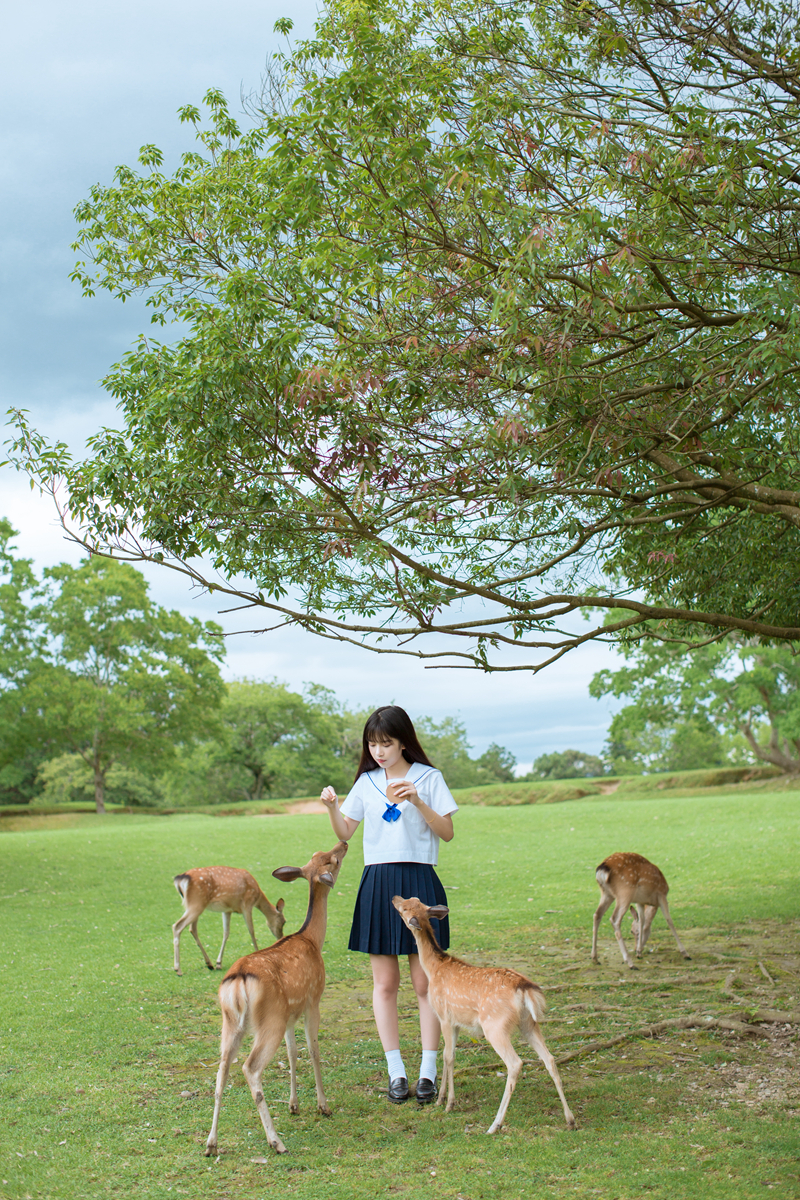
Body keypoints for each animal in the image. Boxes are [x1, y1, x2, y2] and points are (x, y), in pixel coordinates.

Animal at [203, 840, 347, 1156]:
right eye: (332, 861)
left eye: (320, 854)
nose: (343, 843)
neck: (312, 939)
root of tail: (238, 980)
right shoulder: (312, 1000)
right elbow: (313, 1050)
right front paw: (323, 1105)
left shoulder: (291, 1012)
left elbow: (293, 1052)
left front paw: (294, 1105)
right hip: (269, 1021)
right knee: (250, 1068)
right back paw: (276, 1141)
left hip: (232, 1024)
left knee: (221, 1073)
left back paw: (210, 1144)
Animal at [388, 897, 573, 1137]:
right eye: (414, 900)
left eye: (404, 908)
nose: (395, 898)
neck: (435, 968)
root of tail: (524, 988)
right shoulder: (457, 1022)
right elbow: (447, 1056)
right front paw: (441, 1099)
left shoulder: (444, 1015)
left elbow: (449, 1057)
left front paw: (448, 1103)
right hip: (529, 1023)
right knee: (549, 1059)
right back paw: (570, 1119)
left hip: (495, 1025)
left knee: (515, 1063)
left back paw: (495, 1124)